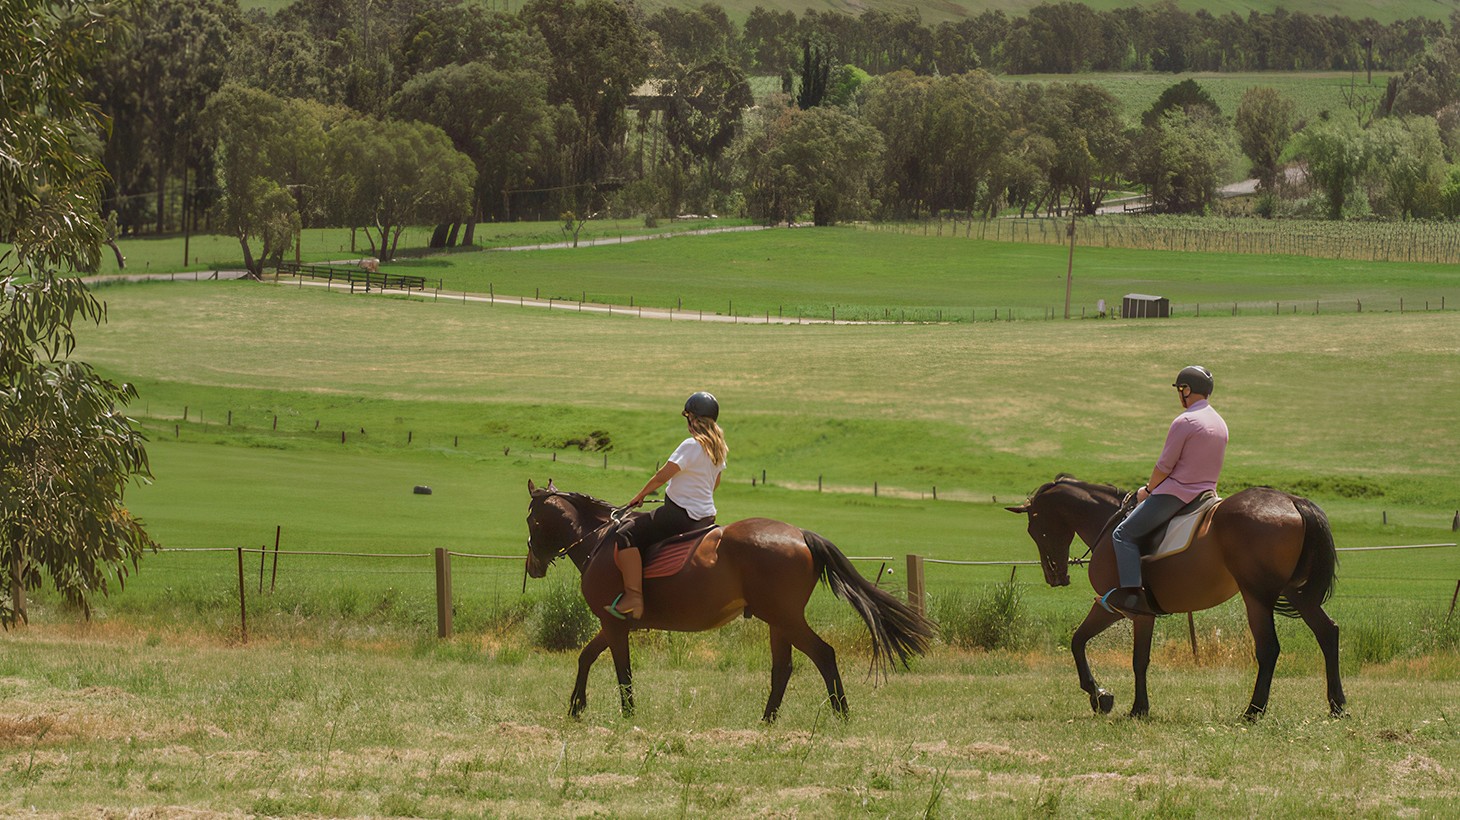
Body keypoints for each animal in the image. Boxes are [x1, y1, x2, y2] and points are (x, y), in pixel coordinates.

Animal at [524, 480, 935, 721]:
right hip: (778, 621)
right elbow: (586, 656)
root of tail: (800, 535)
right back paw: (767, 721)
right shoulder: (611, 624)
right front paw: (576, 707)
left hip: (785, 618)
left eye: (531, 521)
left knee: (823, 654)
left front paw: (627, 716)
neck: (599, 540)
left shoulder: (614, 624)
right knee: (783, 668)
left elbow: (621, 671)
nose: (532, 566)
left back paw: (841, 714)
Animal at [1005, 475, 1344, 720]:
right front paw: (1112, 700)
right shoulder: (1122, 610)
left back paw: (1253, 711)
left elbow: (1124, 656)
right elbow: (1093, 645)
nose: (1055, 577)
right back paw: (1337, 706)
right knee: (1327, 633)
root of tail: (1292, 501)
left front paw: (1115, 701)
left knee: (1269, 648)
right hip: (1296, 593)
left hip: (1257, 596)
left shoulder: (1122, 609)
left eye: (1035, 528)